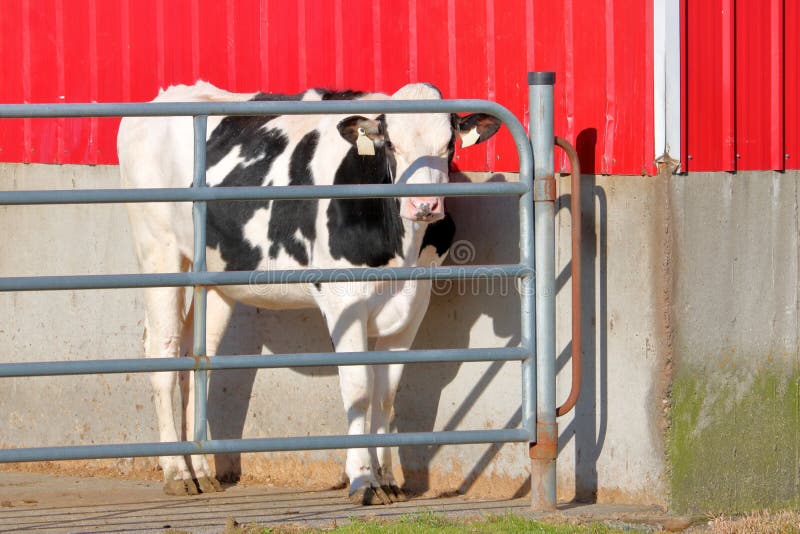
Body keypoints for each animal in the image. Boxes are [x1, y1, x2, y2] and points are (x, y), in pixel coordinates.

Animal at [115, 80, 500, 506]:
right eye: (390, 144)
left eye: (448, 145)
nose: (424, 205)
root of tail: (168, 94)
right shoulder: (342, 301)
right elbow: (359, 389)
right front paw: (362, 479)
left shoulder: (414, 303)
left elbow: (386, 393)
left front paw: (386, 479)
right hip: (158, 250)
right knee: (162, 350)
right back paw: (177, 472)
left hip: (213, 275)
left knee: (197, 357)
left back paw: (199, 469)